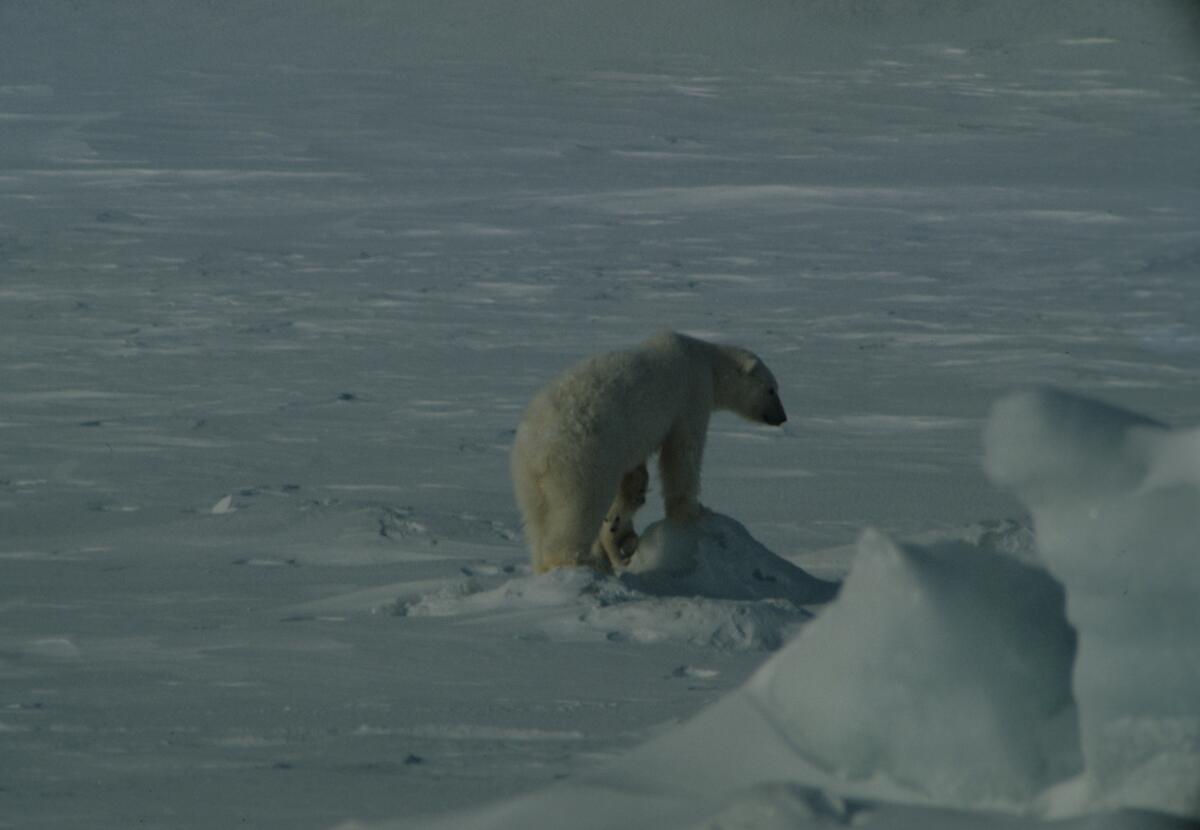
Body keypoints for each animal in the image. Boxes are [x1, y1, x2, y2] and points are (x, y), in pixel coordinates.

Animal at [513, 331, 787, 570]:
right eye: (771, 389)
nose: (782, 417)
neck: (702, 358)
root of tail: (537, 451)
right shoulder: (691, 395)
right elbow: (683, 454)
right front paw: (695, 511)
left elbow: (637, 470)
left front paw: (634, 495)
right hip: (581, 461)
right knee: (576, 511)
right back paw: (577, 560)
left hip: (527, 479)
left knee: (536, 520)